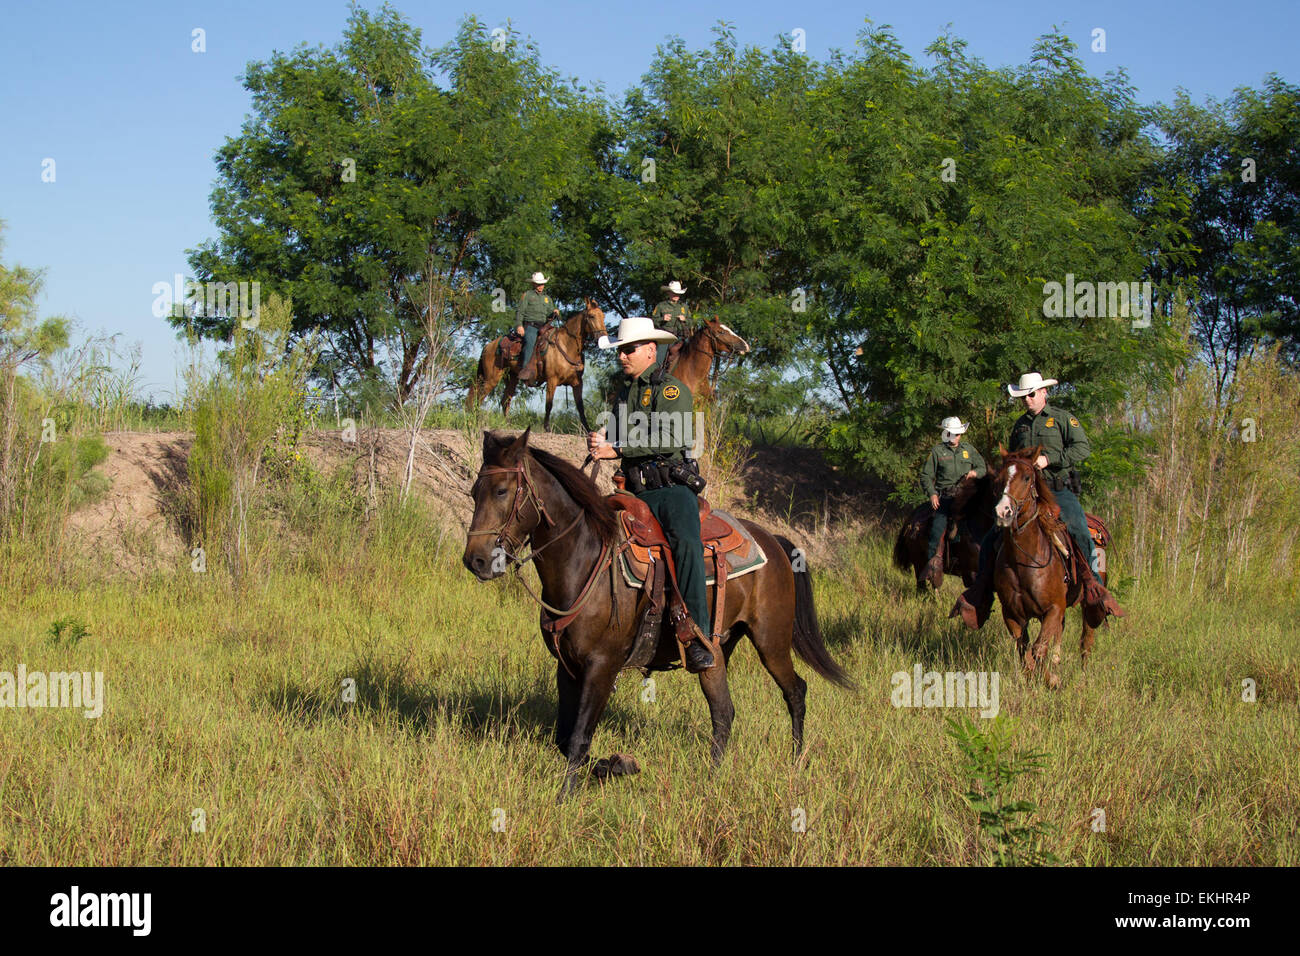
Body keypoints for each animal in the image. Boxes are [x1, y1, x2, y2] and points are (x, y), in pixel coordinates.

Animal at [461, 427, 854, 799]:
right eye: (474, 492)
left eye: (501, 491)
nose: (475, 560)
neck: (584, 559)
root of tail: (773, 540)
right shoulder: (567, 666)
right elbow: (565, 739)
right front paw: (616, 766)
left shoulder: (601, 666)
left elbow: (578, 738)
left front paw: (567, 796)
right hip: (716, 650)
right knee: (723, 712)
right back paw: (711, 779)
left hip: (771, 640)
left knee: (795, 691)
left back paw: (795, 761)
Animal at [465, 298, 606, 431]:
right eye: (592, 316)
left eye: (603, 316)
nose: (603, 338)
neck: (566, 345)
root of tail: (489, 345)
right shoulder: (552, 380)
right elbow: (549, 405)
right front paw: (547, 428)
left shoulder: (577, 382)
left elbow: (581, 407)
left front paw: (588, 429)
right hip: (492, 378)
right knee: (479, 397)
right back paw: (475, 422)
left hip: (512, 378)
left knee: (505, 400)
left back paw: (507, 425)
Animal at [987, 446, 1106, 688]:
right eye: (999, 478)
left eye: (1027, 477)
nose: (1003, 512)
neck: (1024, 561)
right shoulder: (1012, 614)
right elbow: (1025, 651)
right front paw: (1037, 677)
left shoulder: (1053, 609)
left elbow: (1038, 648)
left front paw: (1052, 680)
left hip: (1087, 604)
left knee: (1086, 640)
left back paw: (1083, 675)